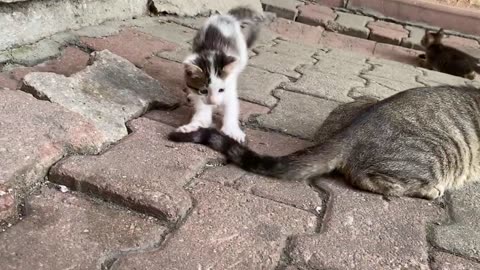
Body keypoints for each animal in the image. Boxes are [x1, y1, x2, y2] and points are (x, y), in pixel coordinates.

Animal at [177, 5, 262, 143]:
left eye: (221, 90)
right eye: (203, 91)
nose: (214, 102)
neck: (212, 53)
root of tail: (226, 16)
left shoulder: (230, 90)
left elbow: (232, 107)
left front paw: (233, 131)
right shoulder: (200, 96)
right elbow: (202, 114)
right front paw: (191, 127)